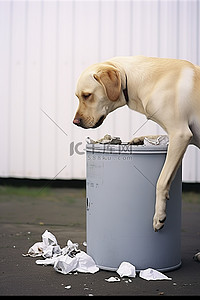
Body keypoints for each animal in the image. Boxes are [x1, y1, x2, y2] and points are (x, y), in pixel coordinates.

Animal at [73, 55, 200, 232]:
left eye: (87, 95)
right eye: (78, 96)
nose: (75, 122)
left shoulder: (180, 133)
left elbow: (161, 181)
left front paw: (159, 215)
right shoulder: (180, 137)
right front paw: (138, 139)